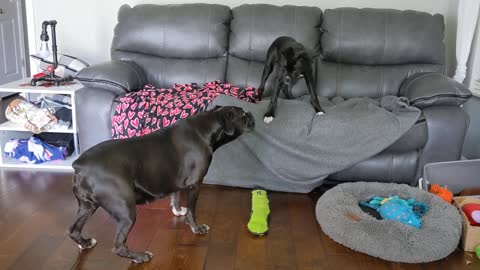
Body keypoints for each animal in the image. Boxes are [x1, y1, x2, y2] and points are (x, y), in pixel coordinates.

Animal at [68, 105, 255, 264]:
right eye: (243, 115)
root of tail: (80, 165)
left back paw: (85, 243)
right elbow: (192, 210)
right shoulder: (195, 184)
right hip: (126, 211)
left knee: (73, 230)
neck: (205, 127)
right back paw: (140, 257)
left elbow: (176, 196)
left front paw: (177, 210)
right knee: (119, 246)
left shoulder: (179, 180)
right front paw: (196, 227)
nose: (251, 114)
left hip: (87, 206)